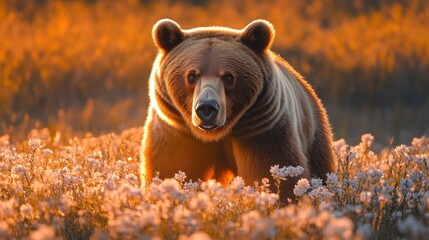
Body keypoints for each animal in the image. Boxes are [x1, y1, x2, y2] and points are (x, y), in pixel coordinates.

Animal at [140, 18, 334, 201]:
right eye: (192, 76)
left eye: (228, 77)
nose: (207, 108)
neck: (219, 134)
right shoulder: (177, 132)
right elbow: (171, 168)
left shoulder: (262, 131)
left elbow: (272, 169)